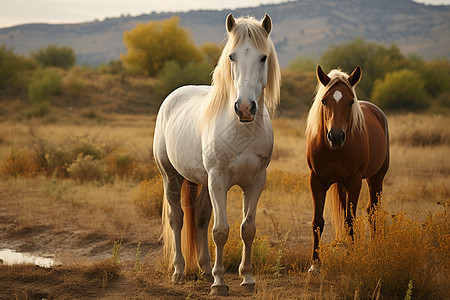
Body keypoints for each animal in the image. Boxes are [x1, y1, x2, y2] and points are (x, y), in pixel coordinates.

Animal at [155, 13, 282, 296]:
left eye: (263, 57)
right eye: (232, 56)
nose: (244, 108)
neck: (242, 130)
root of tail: (173, 95)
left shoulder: (256, 182)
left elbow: (247, 229)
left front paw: (247, 278)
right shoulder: (219, 181)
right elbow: (221, 231)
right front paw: (220, 283)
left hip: (202, 182)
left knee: (200, 219)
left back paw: (204, 269)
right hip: (171, 176)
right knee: (177, 219)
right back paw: (179, 271)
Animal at [306, 67, 390, 270]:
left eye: (351, 101)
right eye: (324, 101)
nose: (336, 136)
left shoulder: (354, 181)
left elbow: (350, 220)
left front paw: (352, 258)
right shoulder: (316, 180)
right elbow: (317, 222)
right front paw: (315, 264)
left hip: (376, 179)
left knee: (372, 211)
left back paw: (375, 247)